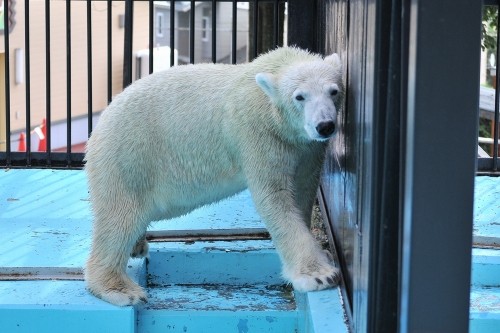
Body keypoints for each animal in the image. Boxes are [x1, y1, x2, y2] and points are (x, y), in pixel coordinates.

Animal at [85, 46, 344, 306]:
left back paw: (137, 246)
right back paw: (120, 289)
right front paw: (320, 276)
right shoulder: (259, 135)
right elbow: (276, 198)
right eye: (300, 97)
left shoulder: (307, 148)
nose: (325, 126)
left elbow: (303, 191)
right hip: (129, 158)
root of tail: (100, 123)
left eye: (334, 91)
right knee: (119, 218)